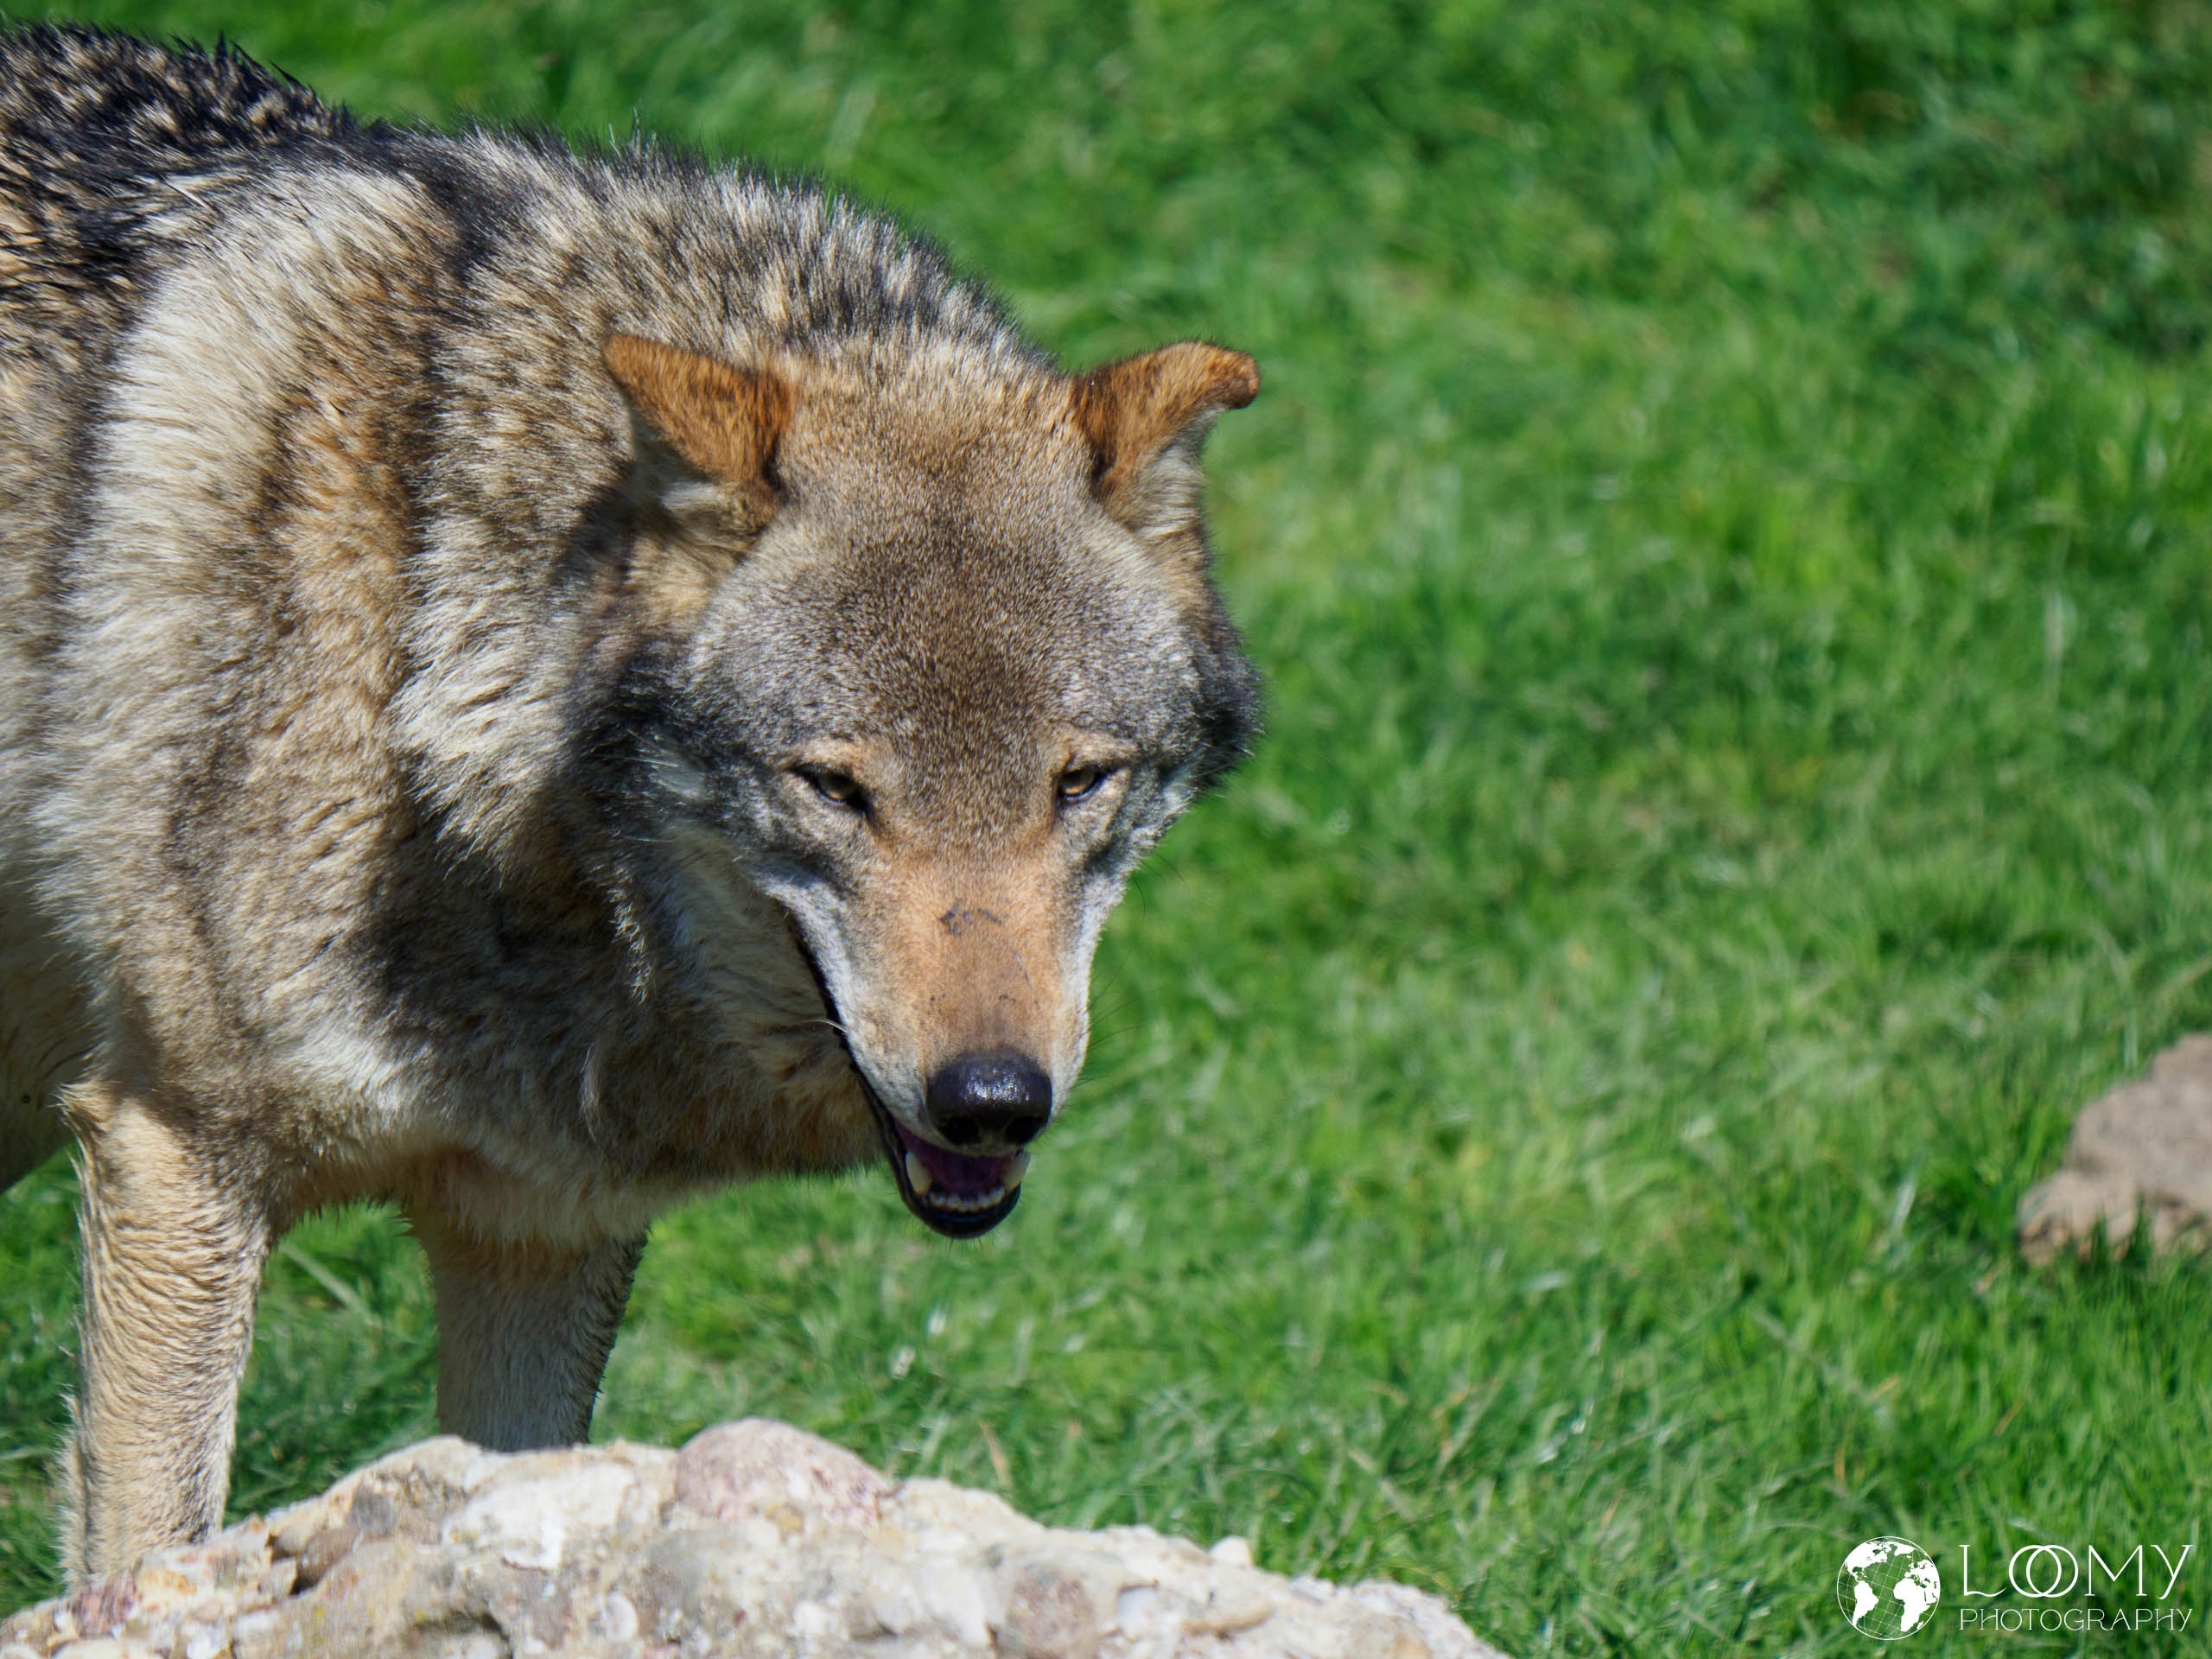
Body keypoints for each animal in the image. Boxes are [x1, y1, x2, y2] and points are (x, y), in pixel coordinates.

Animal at [0, 25, 1259, 1581]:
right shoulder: (175, 1161)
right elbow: (152, 1561)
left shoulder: (542, 1231)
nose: (991, 1102)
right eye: (834, 788)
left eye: (1080, 782)